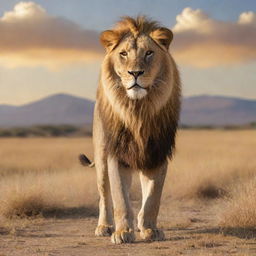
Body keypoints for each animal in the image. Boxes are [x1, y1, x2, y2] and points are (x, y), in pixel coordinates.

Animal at [85, 16, 180, 244]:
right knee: (105, 196)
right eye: (123, 54)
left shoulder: (157, 154)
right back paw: (105, 226)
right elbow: (120, 198)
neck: (138, 111)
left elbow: (152, 198)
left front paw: (150, 229)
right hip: (101, 157)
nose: (135, 73)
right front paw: (122, 232)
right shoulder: (117, 155)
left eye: (149, 53)